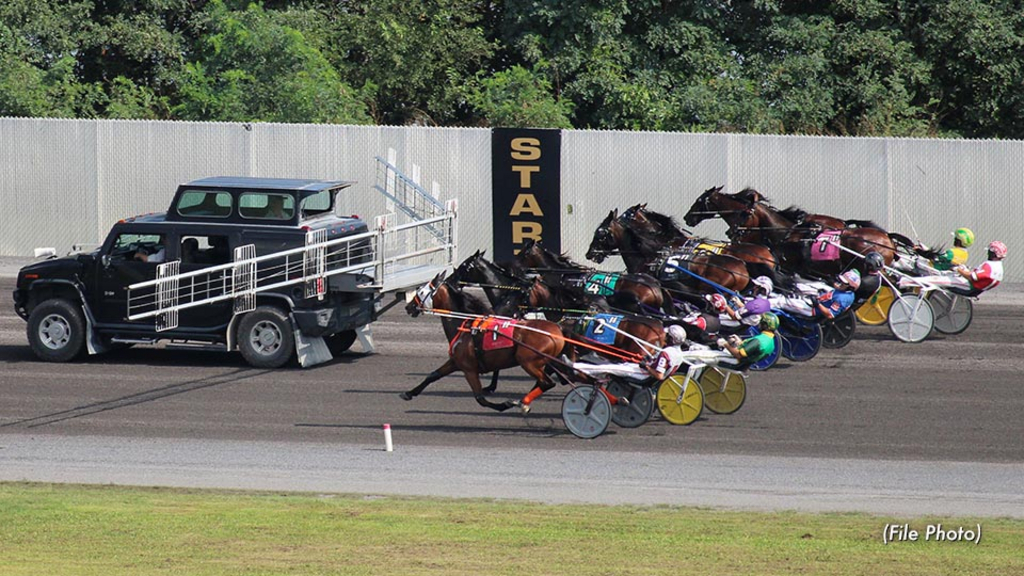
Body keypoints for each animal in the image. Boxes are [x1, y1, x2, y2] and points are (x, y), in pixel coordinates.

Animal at [401, 270, 565, 409]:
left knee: (546, 383)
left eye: (421, 292)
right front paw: (409, 393)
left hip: (528, 362)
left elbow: (480, 399)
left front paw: (504, 405)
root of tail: (557, 330)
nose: (409, 307)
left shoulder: (469, 369)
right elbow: (433, 375)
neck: (465, 324)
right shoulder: (456, 362)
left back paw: (521, 403)